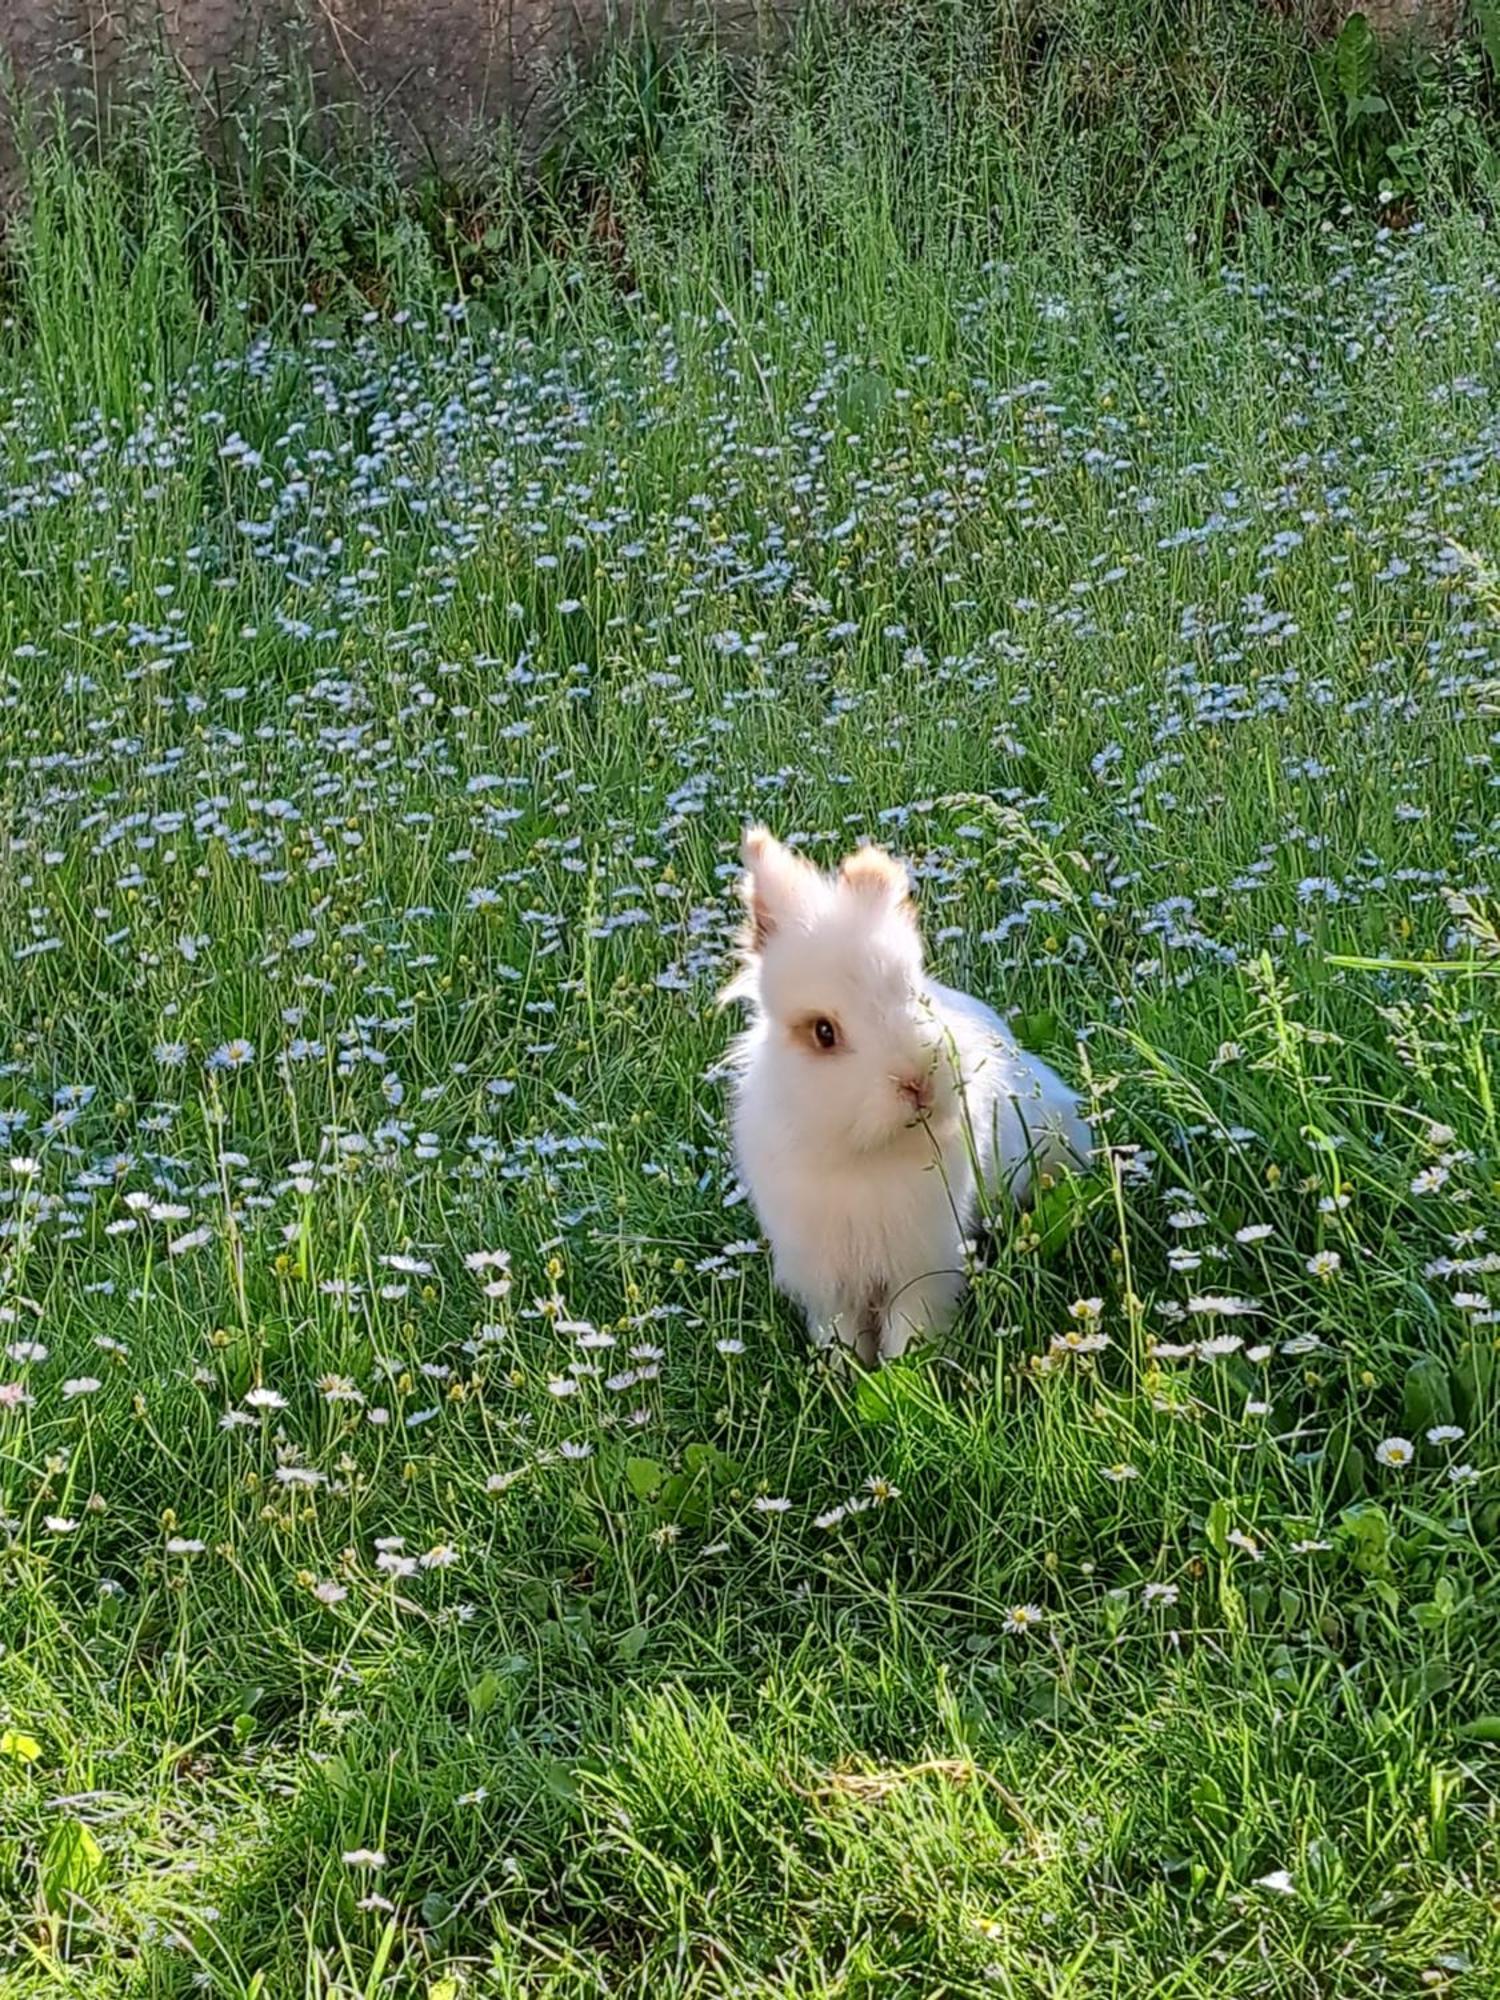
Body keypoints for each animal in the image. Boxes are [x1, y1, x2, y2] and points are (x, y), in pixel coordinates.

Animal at [724, 824, 1088, 1360]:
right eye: (824, 1032)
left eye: (916, 996)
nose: (918, 1081)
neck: (865, 1156)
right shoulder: (828, 1282)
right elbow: (842, 1335)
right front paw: (845, 1372)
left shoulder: (921, 1268)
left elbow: (909, 1330)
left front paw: (906, 1368)